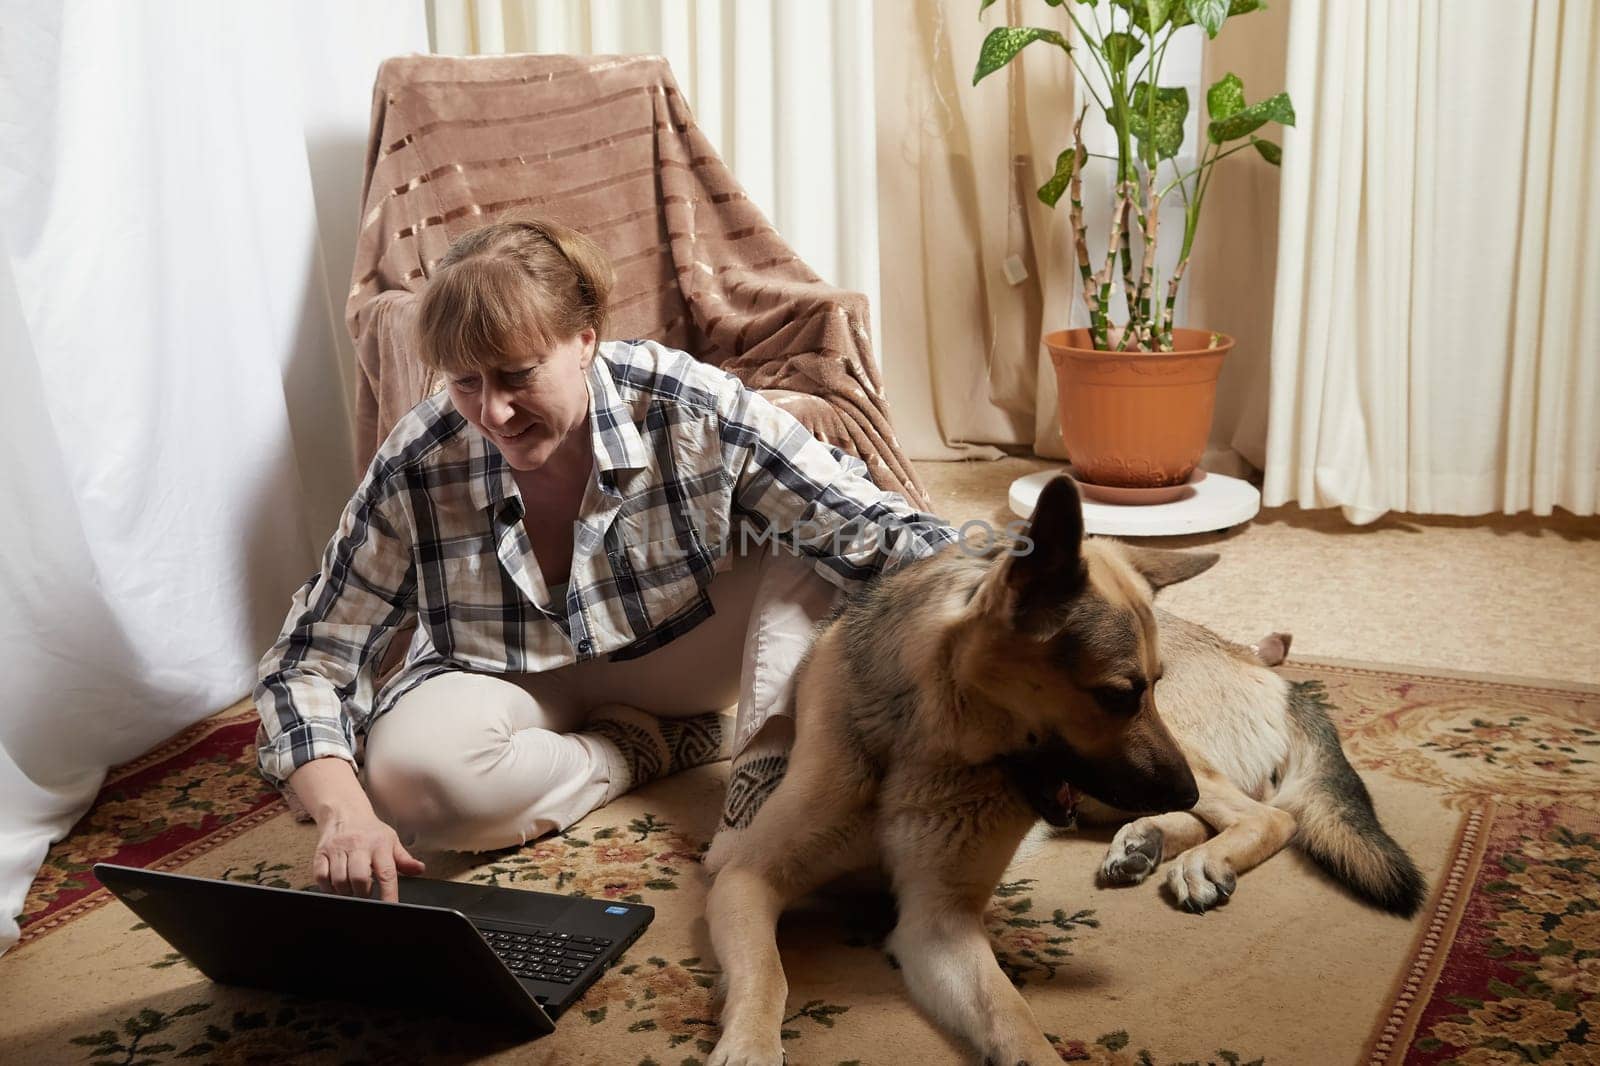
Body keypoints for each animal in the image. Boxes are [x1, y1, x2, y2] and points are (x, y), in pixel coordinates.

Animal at [704, 473, 1427, 1062]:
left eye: (1152, 685)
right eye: (1118, 694)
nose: (1183, 786)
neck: (921, 748)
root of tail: (1268, 670)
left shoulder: (938, 922)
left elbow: (1012, 1016)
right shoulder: (747, 879)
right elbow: (769, 976)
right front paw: (751, 1047)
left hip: (1174, 759)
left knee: (1268, 816)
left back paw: (1198, 855)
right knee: (1214, 814)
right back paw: (1151, 841)